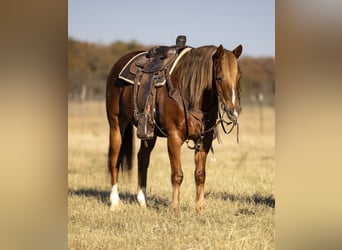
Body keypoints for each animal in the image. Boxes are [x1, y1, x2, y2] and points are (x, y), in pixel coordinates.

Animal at [105, 44, 242, 210]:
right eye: (219, 77)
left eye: (239, 76)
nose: (234, 111)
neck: (188, 92)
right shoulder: (174, 138)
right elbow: (177, 175)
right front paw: (175, 209)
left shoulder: (204, 140)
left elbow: (200, 175)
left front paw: (199, 209)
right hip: (116, 124)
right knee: (114, 159)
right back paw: (114, 202)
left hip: (149, 133)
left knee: (143, 159)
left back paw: (142, 201)